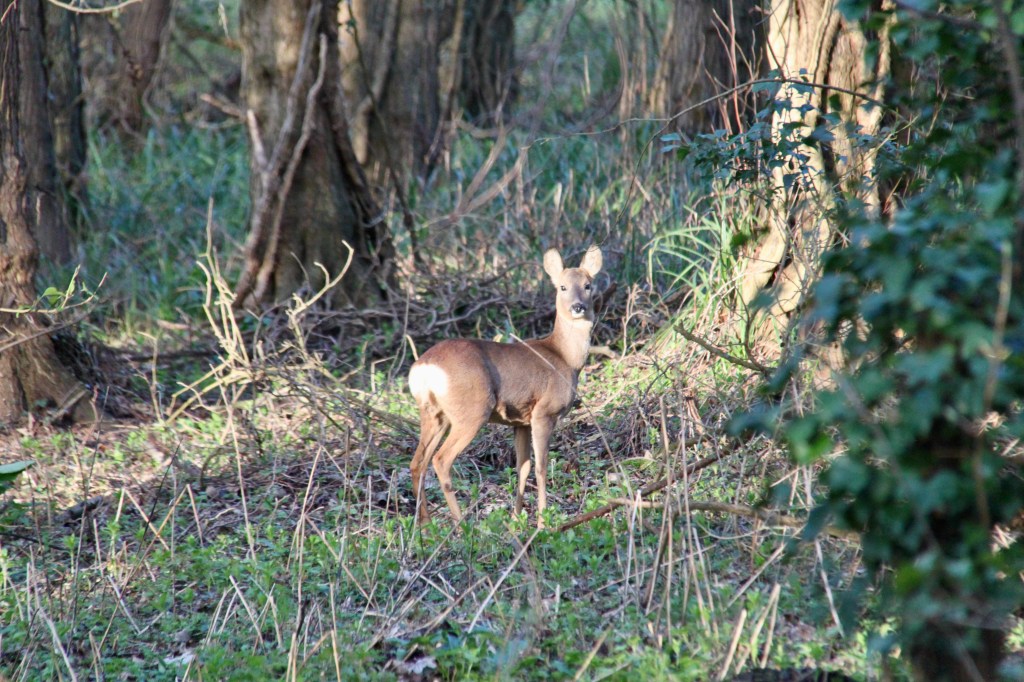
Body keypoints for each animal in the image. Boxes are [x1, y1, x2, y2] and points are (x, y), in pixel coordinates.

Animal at [408, 246, 603, 528]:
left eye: (588, 285)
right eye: (562, 287)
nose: (578, 307)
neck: (564, 357)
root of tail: (423, 368)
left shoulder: (521, 421)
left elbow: (522, 466)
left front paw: (515, 518)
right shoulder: (544, 412)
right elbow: (541, 466)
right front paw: (542, 522)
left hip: (434, 414)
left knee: (417, 462)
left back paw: (425, 524)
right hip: (472, 410)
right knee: (440, 460)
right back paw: (463, 524)